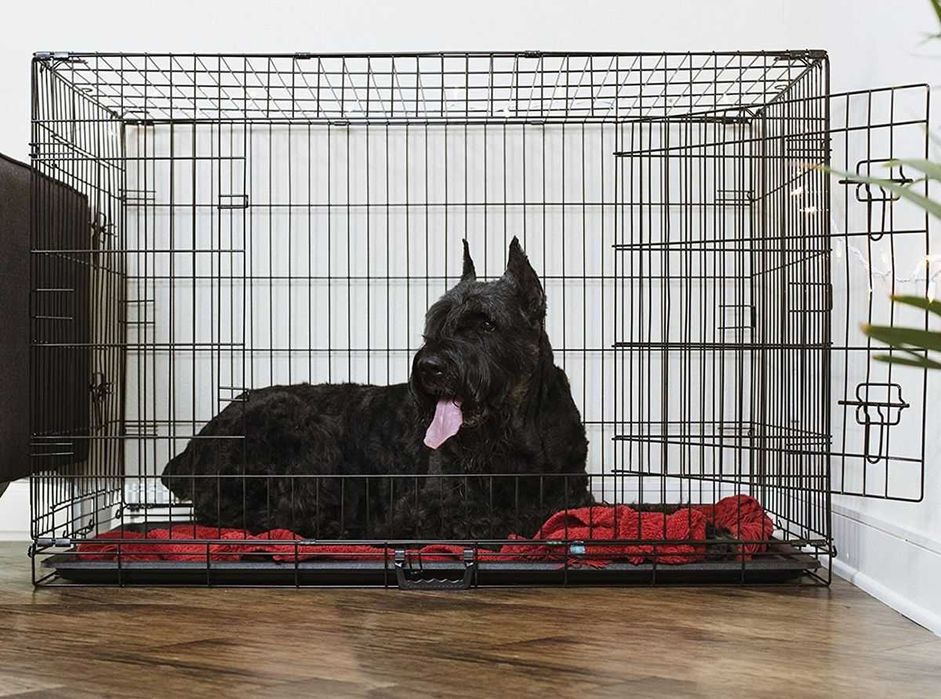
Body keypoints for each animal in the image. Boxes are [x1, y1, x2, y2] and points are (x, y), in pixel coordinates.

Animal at [161, 237, 592, 540]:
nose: (430, 367)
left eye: (486, 323)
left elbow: (555, 510)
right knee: (235, 513)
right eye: (437, 321)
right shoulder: (428, 506)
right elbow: (487, 518)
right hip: (298, 429)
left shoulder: (573, 492)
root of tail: (193, 445)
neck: (514, 434)